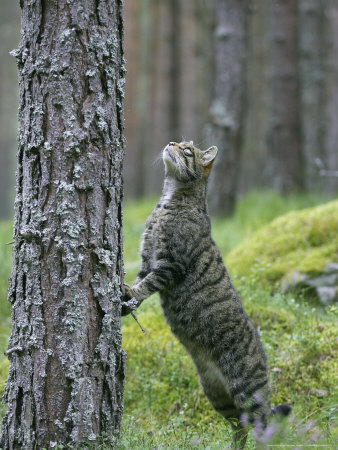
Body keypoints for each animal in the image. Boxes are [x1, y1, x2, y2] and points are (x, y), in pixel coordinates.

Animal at [121, 140, 290, 446]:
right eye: (179, 142)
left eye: (187, 150)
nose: (171, 143)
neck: (168, 201)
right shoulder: (147, 259)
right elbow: (141, 281)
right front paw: (126, 303)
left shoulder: (169, 264)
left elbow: (146, 285)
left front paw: (129, 292)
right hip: (217, 395)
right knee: (240, 428)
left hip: (248, 392)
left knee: (264, 427)